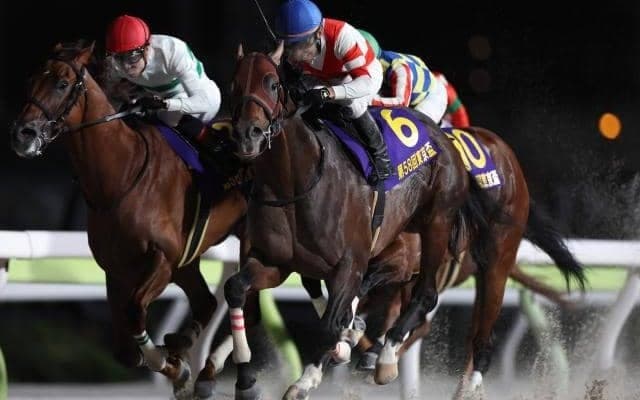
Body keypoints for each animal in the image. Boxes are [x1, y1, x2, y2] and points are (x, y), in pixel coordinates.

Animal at [9, 40, 253, 398]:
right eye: (30, 80)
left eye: (62, 84)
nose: (22, 135)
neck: (121, 176)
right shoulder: (118, 268)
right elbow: (126, 352)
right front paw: (177, 367)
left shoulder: (162, 260)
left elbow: (135, 311)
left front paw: (175, 366)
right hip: (187, 262)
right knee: (208, 301)